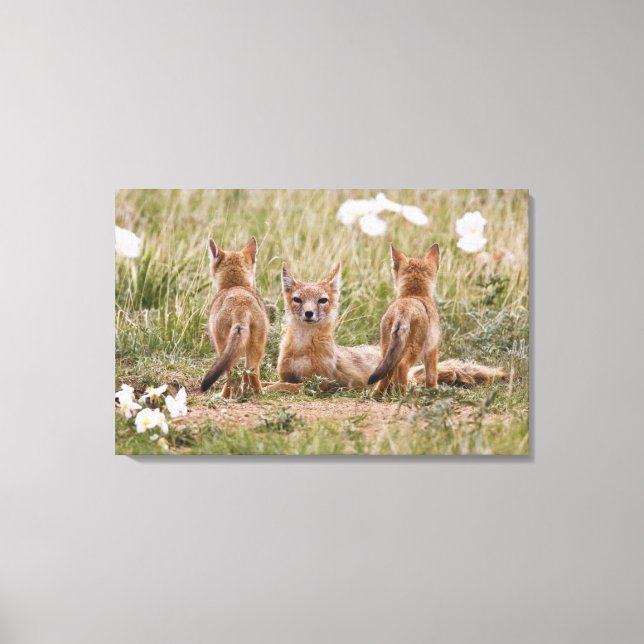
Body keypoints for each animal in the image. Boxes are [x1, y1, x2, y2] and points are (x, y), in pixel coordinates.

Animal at [200, 237, 268, 396]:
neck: (235, 285)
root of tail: (240, 304)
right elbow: (245, 375)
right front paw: (244, 390)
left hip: (223, 347)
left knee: (231, 374)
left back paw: (224, 396)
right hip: (256, 347)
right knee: (251, 372)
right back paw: (257, 393)